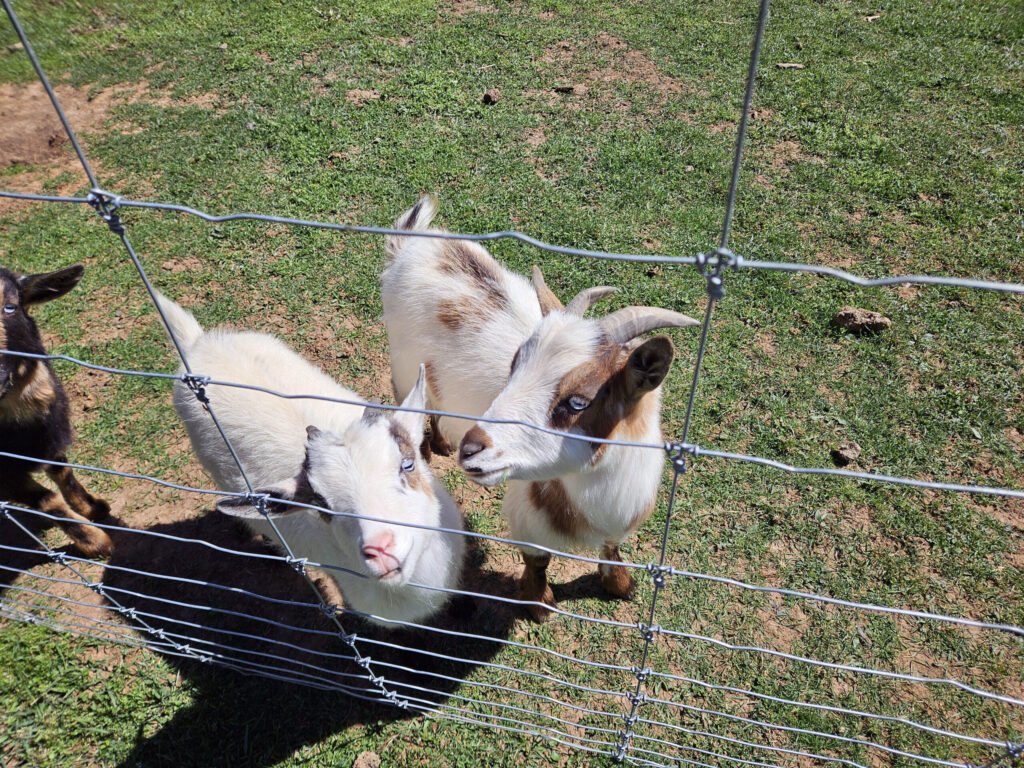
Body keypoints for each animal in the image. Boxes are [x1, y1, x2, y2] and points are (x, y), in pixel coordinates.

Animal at [0, 264, 112, 557]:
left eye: (10, 307)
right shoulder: (5, 474)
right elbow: (48, 501)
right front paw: (96, 543)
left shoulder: (49, 436)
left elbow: (64, 473)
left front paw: (93, 508)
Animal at [381, 197, 698, 621]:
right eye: (514, 366)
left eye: (578, 401)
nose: (472, 448)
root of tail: (414, 244)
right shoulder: (528, 516)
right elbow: (538, 560)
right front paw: (538, 603)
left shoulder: (624, 513)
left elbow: (612, 547)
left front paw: (620, 585)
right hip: (404, 362)